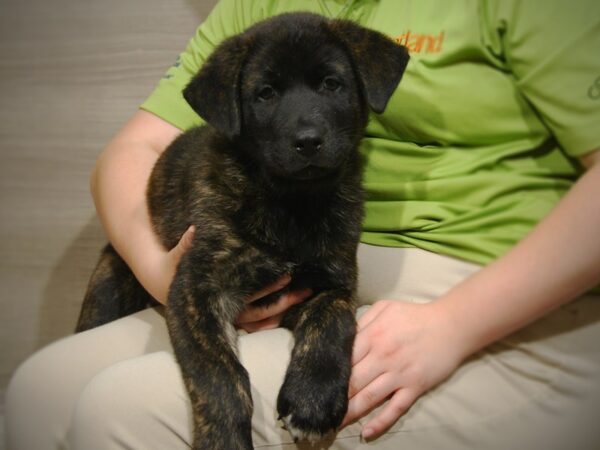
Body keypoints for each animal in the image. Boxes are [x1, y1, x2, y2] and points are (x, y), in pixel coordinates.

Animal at [77, 13, 410, 450]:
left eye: (331, 83)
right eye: (265, 94)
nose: (308, 142)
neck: (292, 205)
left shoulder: (334, 282)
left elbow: (334, 325)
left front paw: (314, 400)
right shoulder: (195, 291)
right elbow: (220, 375)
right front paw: (224, 438)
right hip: (107, 296)